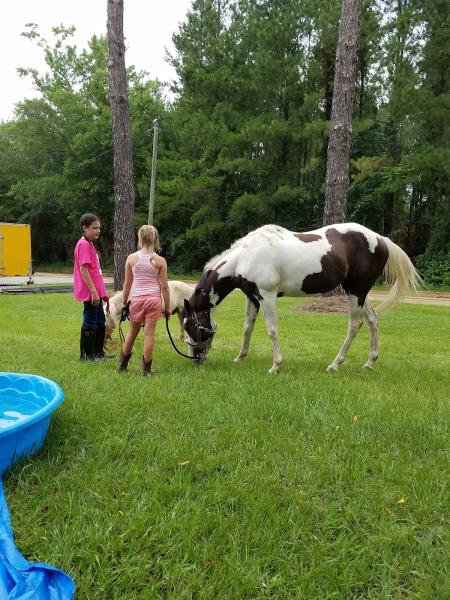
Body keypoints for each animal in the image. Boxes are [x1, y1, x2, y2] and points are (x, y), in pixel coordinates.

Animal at [182, 223, 422, 372]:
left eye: (189, 326)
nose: (196, 359)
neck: (246, 255)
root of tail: (380, 239)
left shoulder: (267, 296)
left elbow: (272, 330)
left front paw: (275, 365)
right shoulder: (252, 297)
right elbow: (247, 328)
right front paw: (240, 358)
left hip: (356, 292)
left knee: (355, 325)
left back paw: (334, 365)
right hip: (358, 291)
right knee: (372, 320)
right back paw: (370, 362)